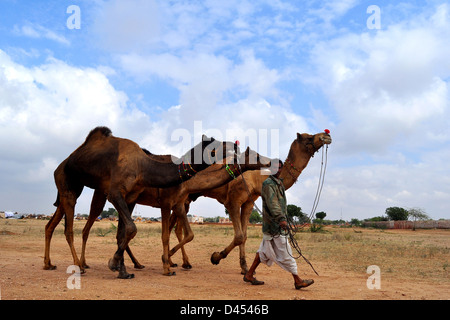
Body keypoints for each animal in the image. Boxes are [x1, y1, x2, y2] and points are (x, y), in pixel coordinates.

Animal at [43, 126, 239, 278]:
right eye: (217, 145)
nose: (235, 145)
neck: (143, 167)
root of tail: (60, 166)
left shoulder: (132, 198)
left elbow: (124, 232)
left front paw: (123, 272)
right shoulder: (119, 194)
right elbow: (138, 229)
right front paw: (116, 263)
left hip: (74, 190)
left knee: (53, 224)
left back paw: (49, 263)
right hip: (72, 186)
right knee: (71, 229)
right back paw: (79, 266)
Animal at [78, 146, 272, 276]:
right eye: (256, 155)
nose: (270, 160)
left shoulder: (179, 203)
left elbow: (189, 234)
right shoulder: (168, 202)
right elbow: (166, 235)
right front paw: (168, 265)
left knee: (123, 231)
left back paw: (133, 264)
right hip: (106, 195)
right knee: (89, 226)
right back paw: (83, 265)